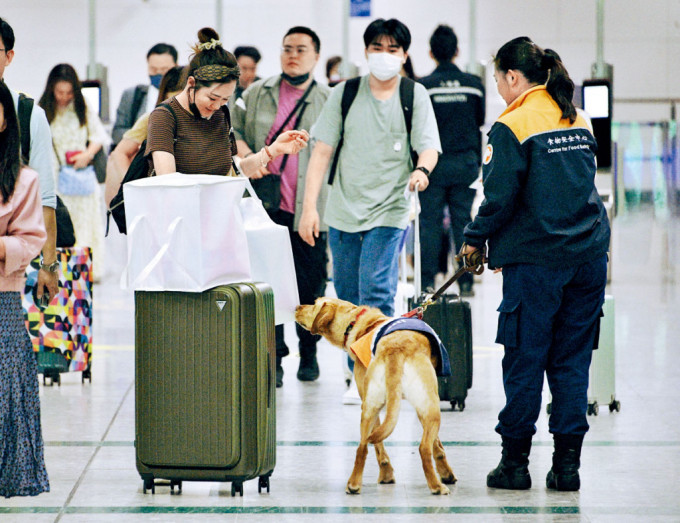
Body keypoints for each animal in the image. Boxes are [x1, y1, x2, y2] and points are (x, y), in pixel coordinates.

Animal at [294, 298, 456, 496]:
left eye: (315, 304)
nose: (297, 307)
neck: (355, 323)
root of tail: (395, 349)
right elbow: (436, 444)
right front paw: (445, 473)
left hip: (371, 408)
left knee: (363, 447)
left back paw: (354, 484)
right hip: (429, 409)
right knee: (422, 447)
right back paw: (435, 486)